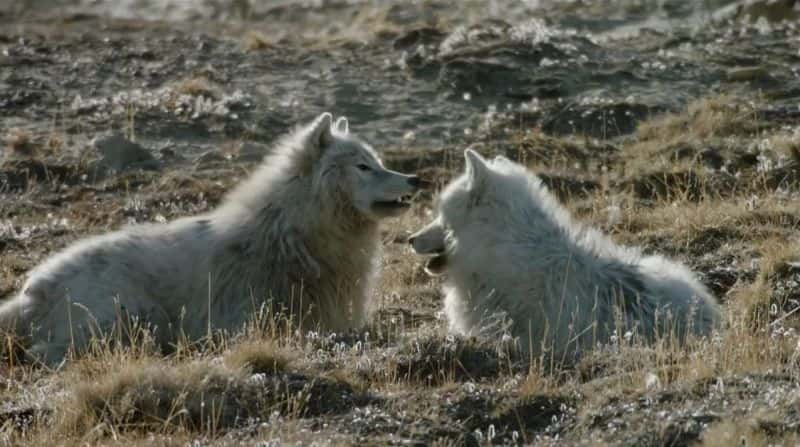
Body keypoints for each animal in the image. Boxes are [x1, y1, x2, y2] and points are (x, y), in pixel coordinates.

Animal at [0, 112, 422, 364]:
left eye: (379, 161)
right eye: (363, 167)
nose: (415, 180)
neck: (291, 233)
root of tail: (33, 289)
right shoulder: (247, 321)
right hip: (130, 314)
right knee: (42, 352)